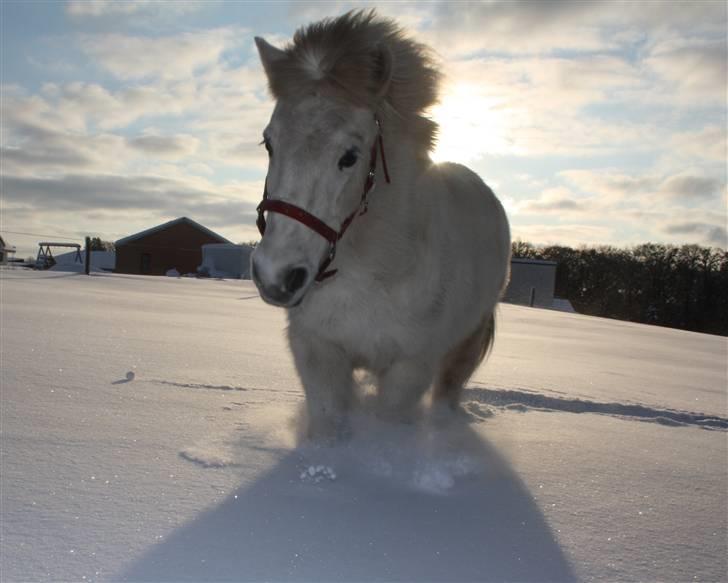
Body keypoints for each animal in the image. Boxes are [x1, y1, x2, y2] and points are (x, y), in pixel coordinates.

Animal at [250, 10, 512, 442]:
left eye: (350, 156)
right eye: (269, 143)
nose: (276, 276)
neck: (374, 274)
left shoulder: (409, 369)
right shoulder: (318, 352)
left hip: (463, 348)